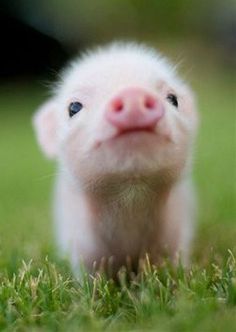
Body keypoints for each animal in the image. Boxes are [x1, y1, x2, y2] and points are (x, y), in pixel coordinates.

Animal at [33, 42, 198, 276]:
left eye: (173, 99)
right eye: (73, 107)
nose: (132, 94)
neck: (130, 201)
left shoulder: (179, 228)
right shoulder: (80, 242)